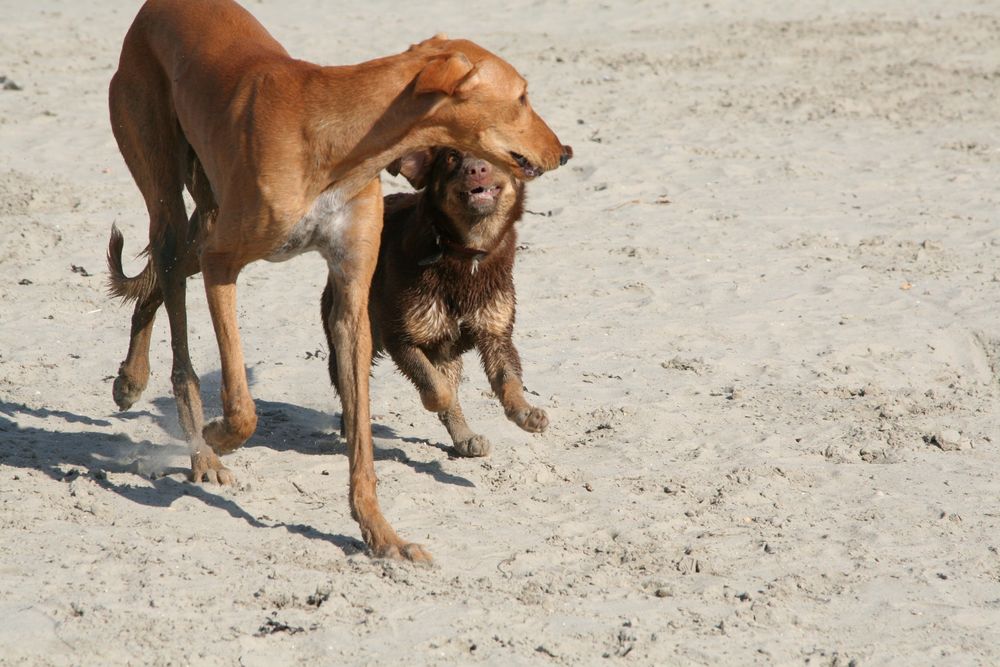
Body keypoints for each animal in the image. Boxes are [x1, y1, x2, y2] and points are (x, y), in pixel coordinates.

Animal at [320, 148, 552, 456]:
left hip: (446, 349)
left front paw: (525, 413)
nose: (477, 169)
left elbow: (509, 381)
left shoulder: (496, 335)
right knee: (350, 384)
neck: (467, 253)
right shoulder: (401, 337)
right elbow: (437, 389)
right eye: (452, 157)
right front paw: (439, 400)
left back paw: (465, 437)